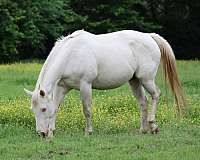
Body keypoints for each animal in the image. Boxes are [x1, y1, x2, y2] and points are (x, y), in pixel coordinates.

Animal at [24, 30, 184, 138]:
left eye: (43, 109)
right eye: (33, 110)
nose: (41, 133)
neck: (71, 54)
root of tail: (149, 36)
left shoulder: (85, 85)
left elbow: (87, 110)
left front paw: (88, 132)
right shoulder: (62, 87)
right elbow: (56, 108)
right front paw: (52, 132)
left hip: (146, 79)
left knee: (156, 95)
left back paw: (153, 126)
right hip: (135, 81)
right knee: (143, 102)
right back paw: (143, 129)